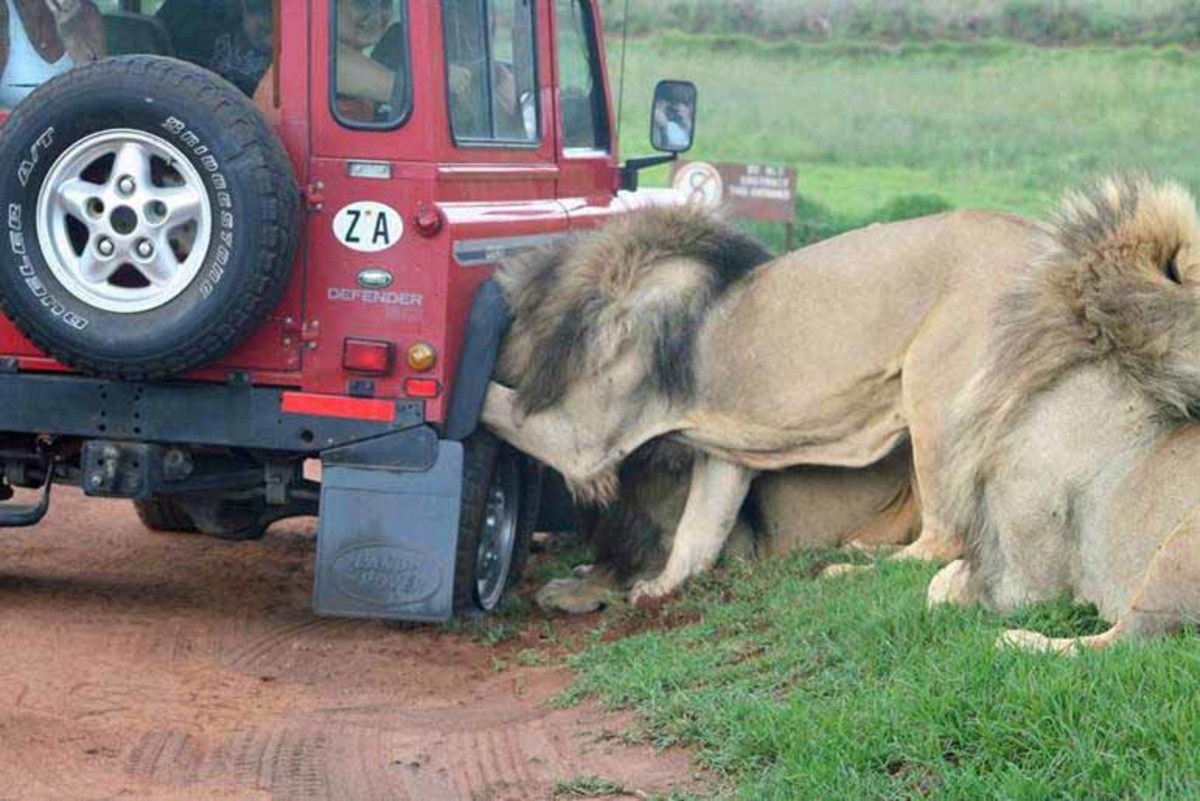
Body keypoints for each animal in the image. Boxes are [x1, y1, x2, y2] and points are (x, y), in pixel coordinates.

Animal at [482, 203, 1036, 604]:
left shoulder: (585, 438)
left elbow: (495, 402)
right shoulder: (723, 454)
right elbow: (699, 530)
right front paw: (660, 588)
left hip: (932, 395)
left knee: (947, 540)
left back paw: (847, 566)